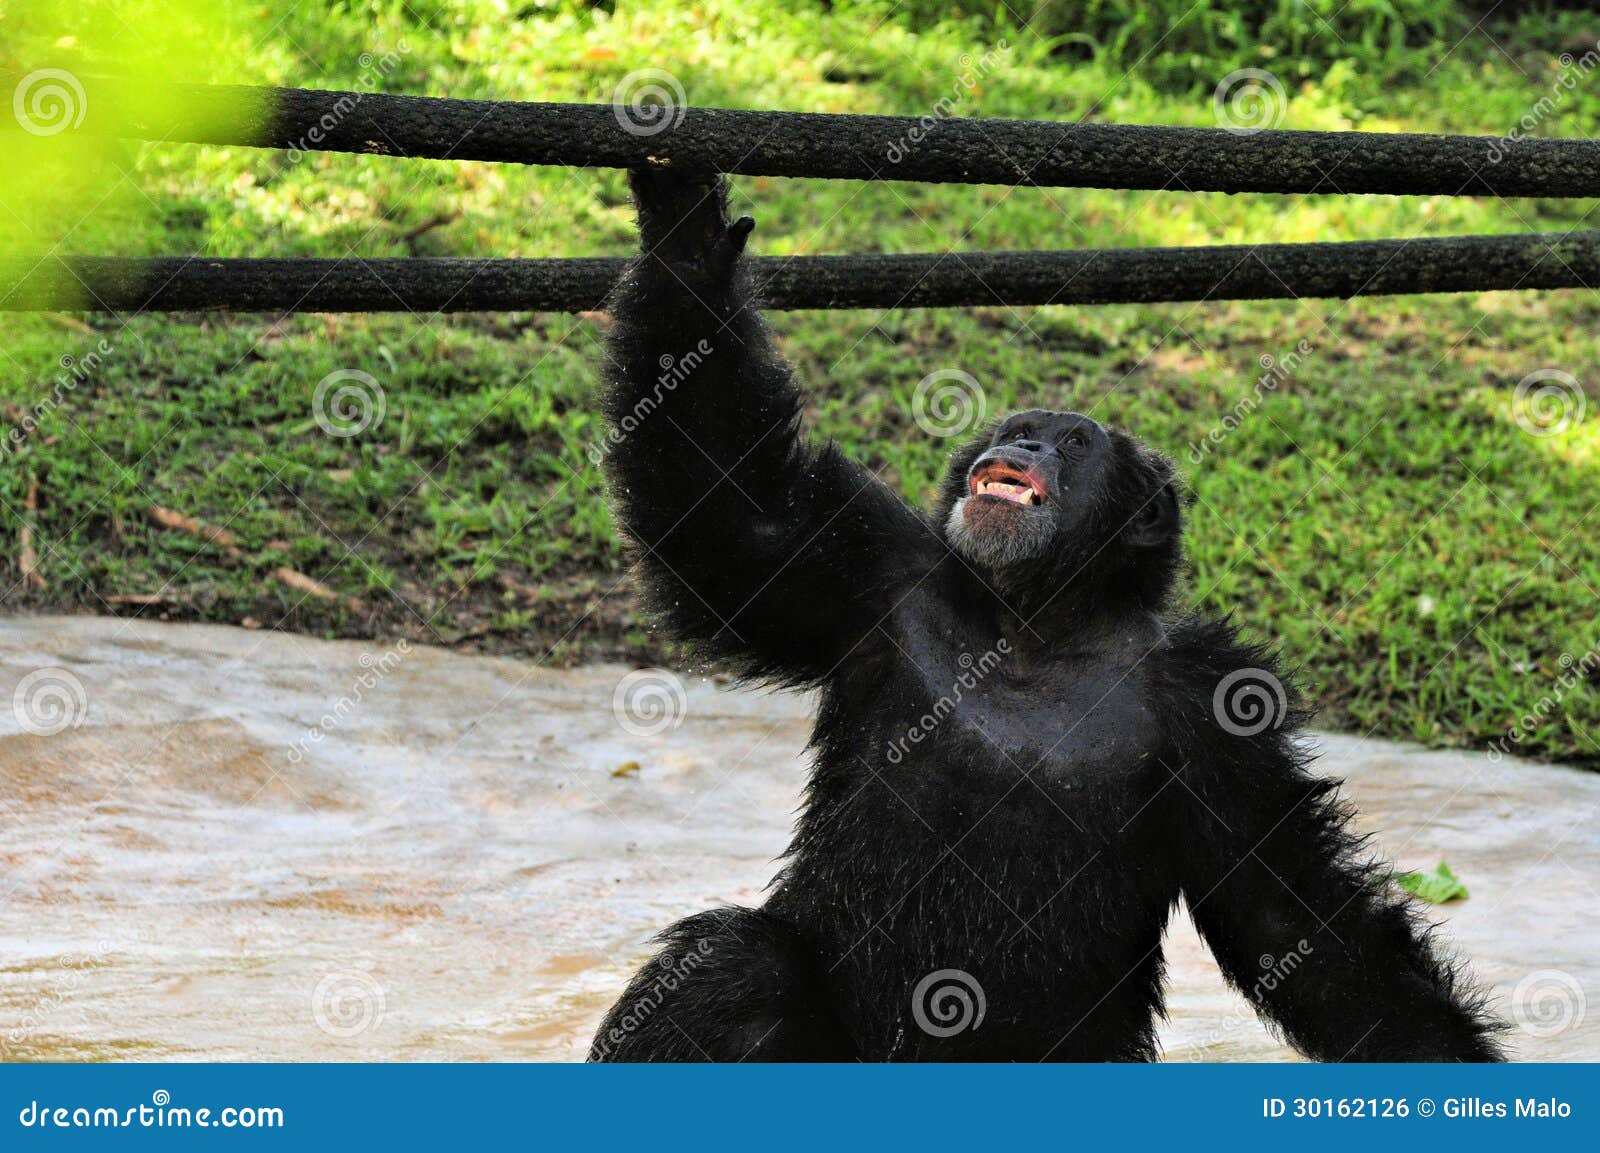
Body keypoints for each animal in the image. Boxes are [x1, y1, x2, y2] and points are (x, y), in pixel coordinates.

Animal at [588, 168, 1497, 1061]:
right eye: (1024, 426)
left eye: (1074, 443)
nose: (1025, 446)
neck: (1032, 625)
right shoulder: (871, 568)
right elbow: (735, 517)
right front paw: (685, 231)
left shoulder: (1220, 703)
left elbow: (1292, 911)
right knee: (734, 969)